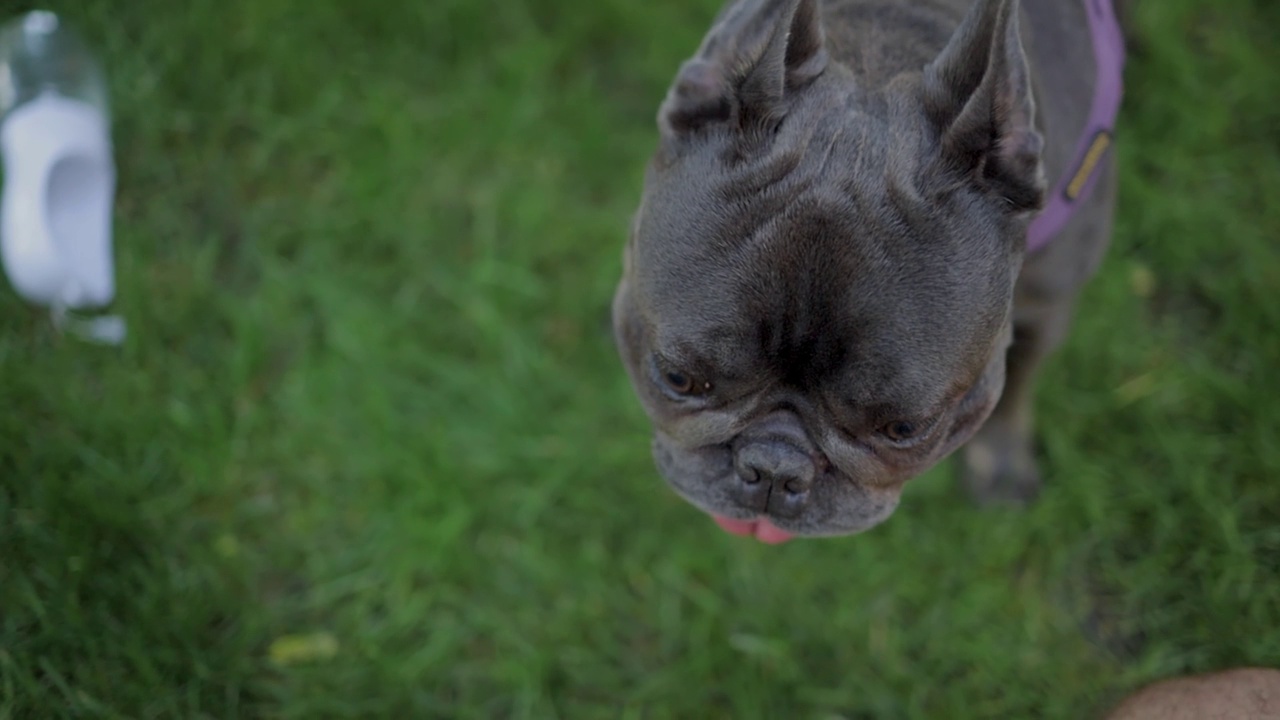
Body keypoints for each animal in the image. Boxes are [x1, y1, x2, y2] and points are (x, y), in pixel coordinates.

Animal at [609, 0, 1121, 538]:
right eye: (677, 379)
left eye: (905, 430)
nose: (774, 468)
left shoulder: (1045, 309)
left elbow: (1017, 382)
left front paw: (999, 465)